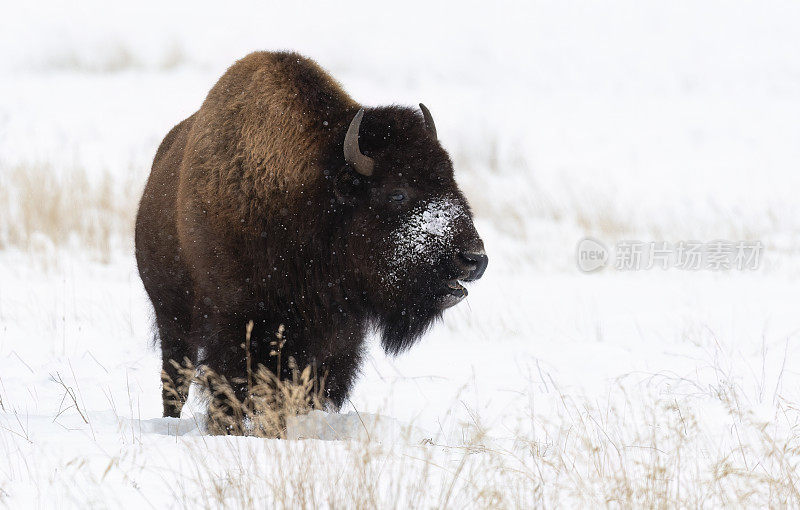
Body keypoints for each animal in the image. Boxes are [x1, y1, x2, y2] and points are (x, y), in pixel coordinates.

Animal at [135, 51, 488, 424]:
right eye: (397, 193)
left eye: (451, 179)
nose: (474, 260)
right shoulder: (236, 328)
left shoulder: (338, 341)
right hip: (172, 321)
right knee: (176, 381)